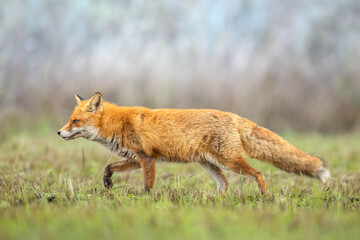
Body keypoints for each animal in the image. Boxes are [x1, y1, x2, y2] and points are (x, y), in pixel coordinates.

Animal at [57, 93, 330, 194]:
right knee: (224, 185)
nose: (59, 132)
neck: (118, 123)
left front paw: (146, 202)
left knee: (258, 173)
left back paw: (265, 198)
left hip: (229, 161)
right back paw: (213, 201)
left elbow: (147, 185)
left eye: (74, 121)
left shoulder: (147, 158)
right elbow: (109, 167)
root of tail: (234, 116)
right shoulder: (135, 158)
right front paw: (107, 183)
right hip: (210, 164)